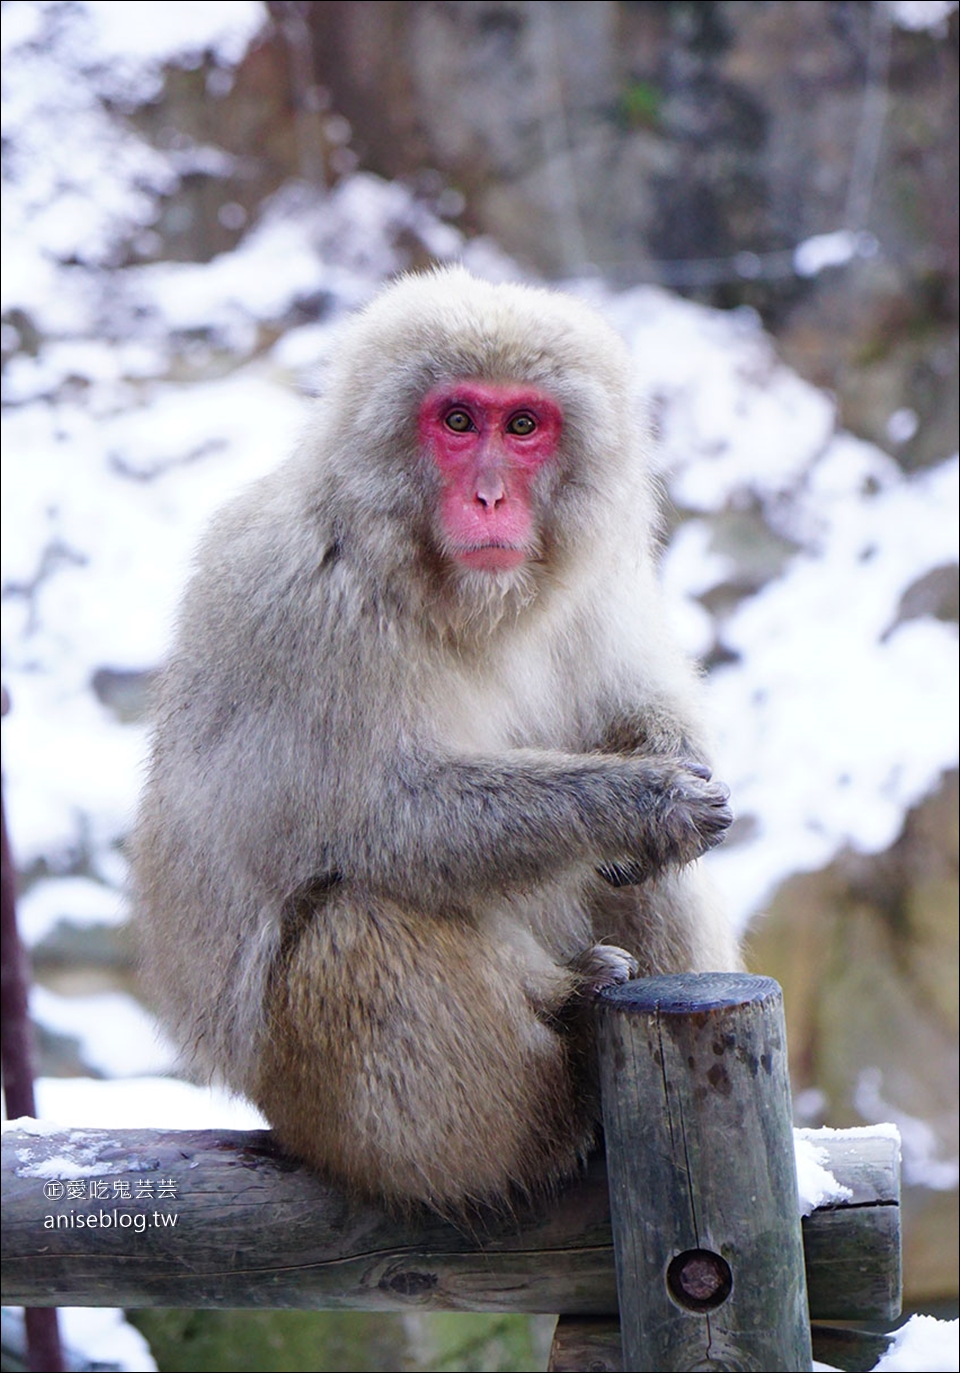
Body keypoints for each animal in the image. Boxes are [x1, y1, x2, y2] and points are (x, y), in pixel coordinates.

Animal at [133, 262, 736, 1208]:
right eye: (457, 422)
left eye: (522, 425)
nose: (489, 495)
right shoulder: (307, 601)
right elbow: (382, 814)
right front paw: (641, 802)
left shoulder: (594, 582)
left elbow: (629, 701)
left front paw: (670, 759)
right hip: (331, 1114)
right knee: (361, 916)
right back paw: (562, 1087)